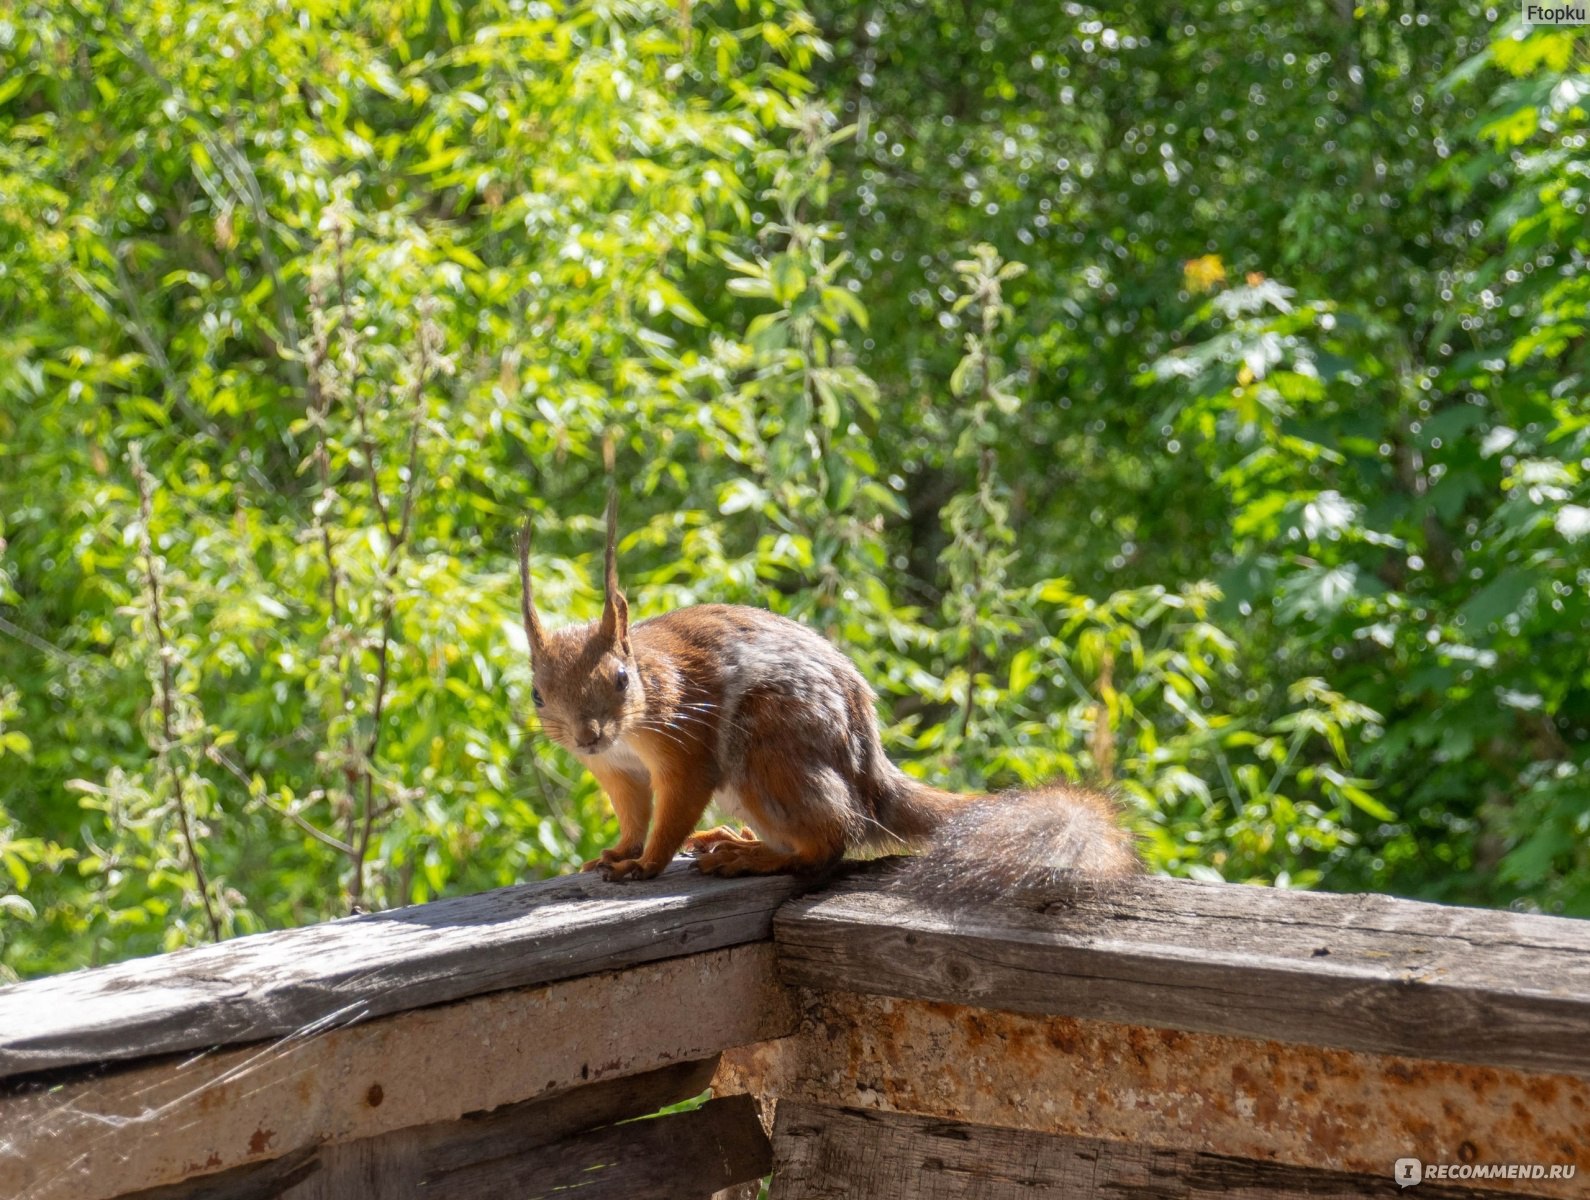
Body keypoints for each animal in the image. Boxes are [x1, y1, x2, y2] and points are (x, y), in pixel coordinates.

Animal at [515, 489, 1138, 890]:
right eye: (537, 695)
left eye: (623, 679)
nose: (588, 735)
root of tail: (869, 779)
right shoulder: (616, 772)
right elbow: (632, 812)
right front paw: (619, 853)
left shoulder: (684, 746)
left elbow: (672, 811)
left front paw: (646, 864)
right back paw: (735, 839)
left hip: (769, 754)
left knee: (828, 845)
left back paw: (751, 857)